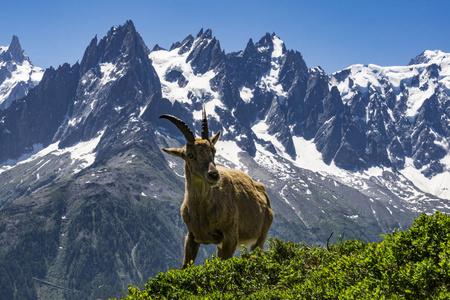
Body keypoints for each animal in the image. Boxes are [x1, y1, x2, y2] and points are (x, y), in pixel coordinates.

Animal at [162, 106, 274, 268]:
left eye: (213, 151)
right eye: (190, 155)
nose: (214, 175)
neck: (202, 211)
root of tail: (262, 191)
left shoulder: (230, 236)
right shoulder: (191, 237)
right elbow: (185, 266)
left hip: (260, 237)